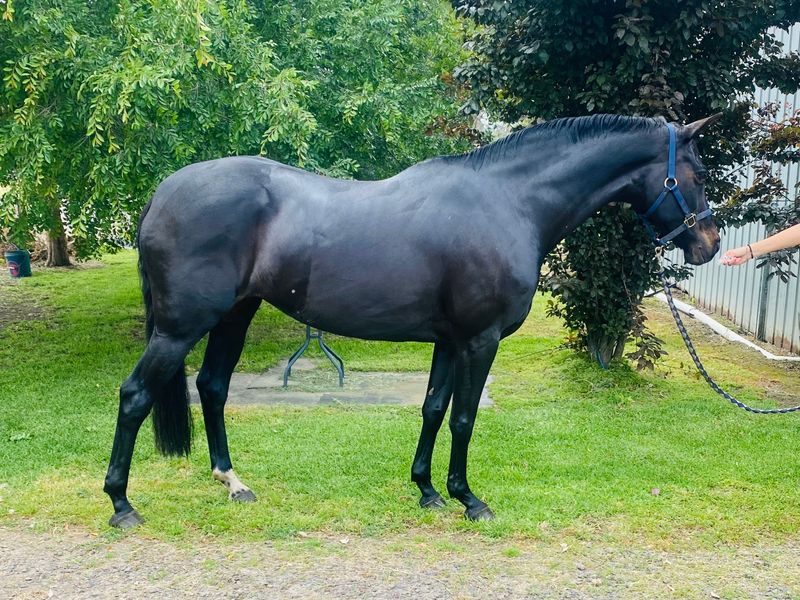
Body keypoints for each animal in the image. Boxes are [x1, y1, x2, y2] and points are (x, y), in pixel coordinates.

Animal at [103, 114, 721, 528]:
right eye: (695, 172)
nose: (711, 244)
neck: (510, 202)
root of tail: (163, 193)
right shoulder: (480, 340)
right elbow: (464, 418)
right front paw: (469, 498)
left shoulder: (449, 341)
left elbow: (432, 409)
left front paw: (427, 490)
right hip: (180, 328)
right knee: (135, 395)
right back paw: (121, 503)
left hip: (235, 314)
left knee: (212, 386)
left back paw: (232, 481)